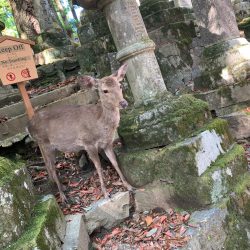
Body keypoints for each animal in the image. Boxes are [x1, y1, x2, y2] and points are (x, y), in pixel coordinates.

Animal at [27, 63, 134, 202]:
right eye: (105, 90)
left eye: (120, 86)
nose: (123, 103)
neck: (100, 125)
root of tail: (28, 127)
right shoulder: (88, 143)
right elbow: (98, 167)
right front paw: (106, 193)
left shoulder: (107, 143)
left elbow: (115, 162)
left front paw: (129, 186)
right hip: (45, 144)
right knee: (51, 168)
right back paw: (63, 197)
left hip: (51, 147)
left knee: (49, 167)